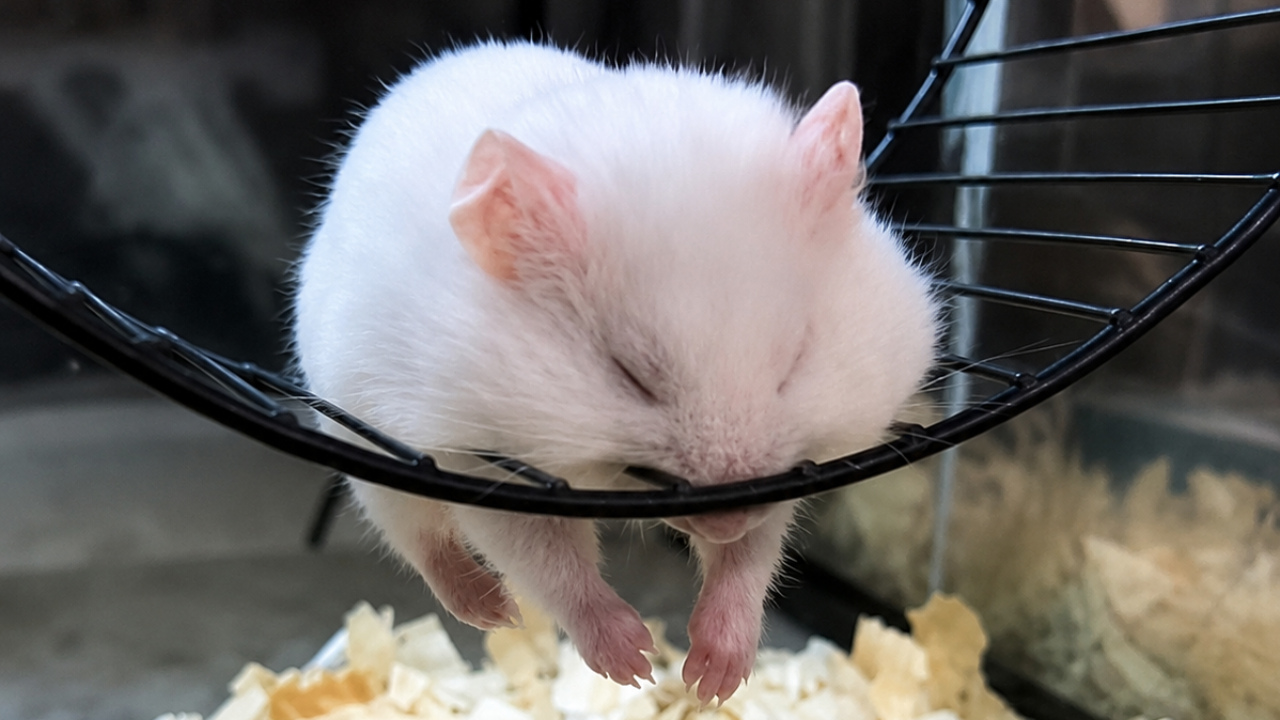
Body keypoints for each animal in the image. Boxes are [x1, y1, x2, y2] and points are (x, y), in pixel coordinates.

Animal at [293, 41, 938, 704]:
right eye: (630, 374)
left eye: (796, 358)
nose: (727, 521)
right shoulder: (481, 466)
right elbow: (552, 566)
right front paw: (637, 663)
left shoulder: (782, 479)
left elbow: (750, 558)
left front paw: (710, 680)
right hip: (371, 454)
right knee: (423, 544)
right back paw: (493, 612)